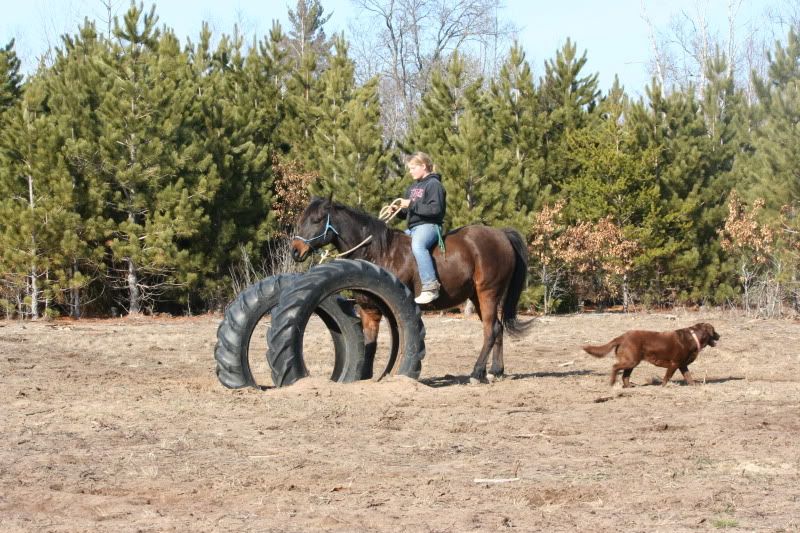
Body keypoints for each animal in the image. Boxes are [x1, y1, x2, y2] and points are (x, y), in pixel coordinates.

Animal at [290, 195, 536, 382]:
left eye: (317, 219)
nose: (295, 250)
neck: (380, 251)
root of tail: (502, 235)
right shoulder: (368, 309)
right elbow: (370, 344)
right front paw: (364, 377)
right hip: (479, 296)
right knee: (498, 328)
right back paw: (495, 371)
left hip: (488, 293)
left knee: (491, 330)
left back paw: (477, 373)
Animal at [580, 322, 720, 384]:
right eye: (714, 330)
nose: (720, 336)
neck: (693, 337)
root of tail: (621, 337)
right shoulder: (674, 364)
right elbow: (667, 378)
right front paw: (663, 387)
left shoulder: (682, 365)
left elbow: (688, 377)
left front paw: (694, 385)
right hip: (631, 360)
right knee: (615, 367)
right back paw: (612, 383)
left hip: (632, 362)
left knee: (625, 376)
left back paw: (629, 387)